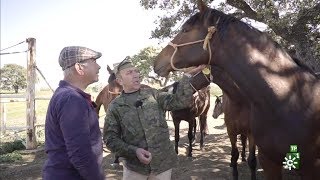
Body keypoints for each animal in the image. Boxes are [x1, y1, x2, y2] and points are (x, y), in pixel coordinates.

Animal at [153, 0, 320, 179]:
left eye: (185, 30)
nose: (156, 63)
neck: (289, 98)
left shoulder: (310, 167)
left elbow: (251, 159)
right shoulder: (264, 157)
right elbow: (235, 154)